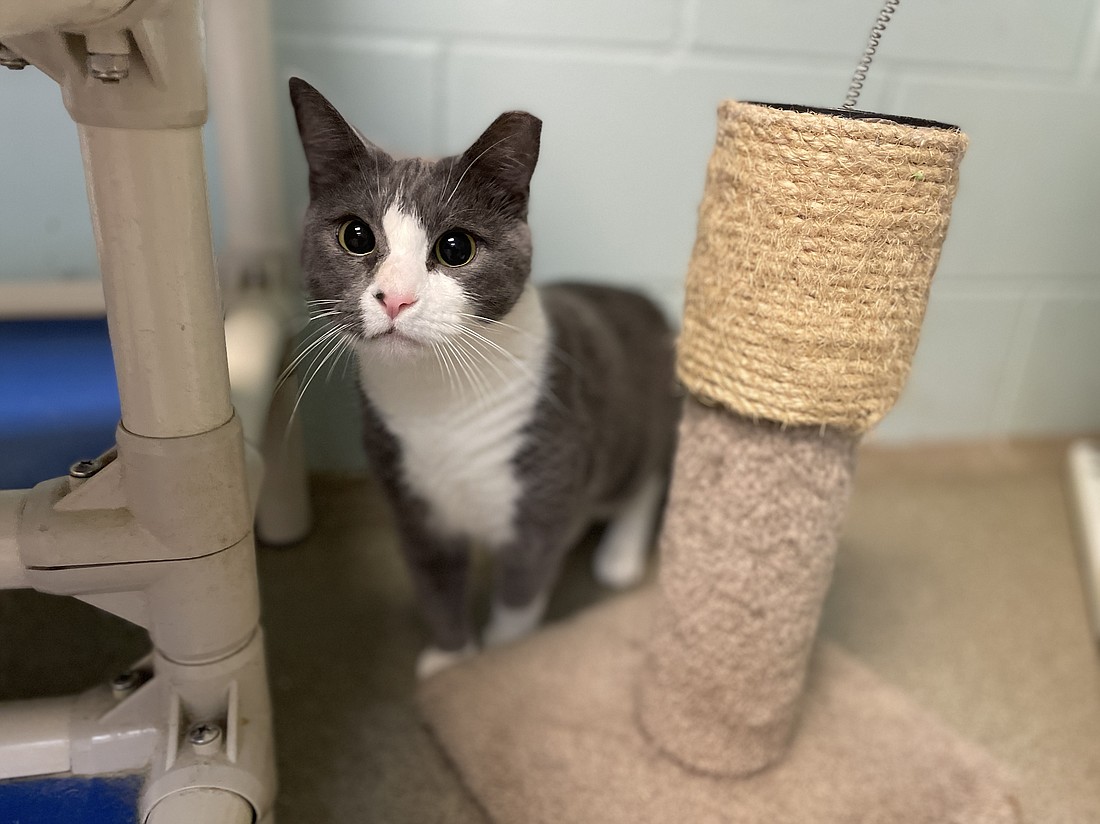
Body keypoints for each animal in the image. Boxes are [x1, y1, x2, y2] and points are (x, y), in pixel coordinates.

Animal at [289, 78, 681, 678]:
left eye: (456, 248)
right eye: (356, 236)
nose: (396, 298)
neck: (436, 406)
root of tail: (645, 300)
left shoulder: (542, 503)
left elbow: (518, 600)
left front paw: (494, 668)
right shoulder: (412, 507)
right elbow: (435, 586)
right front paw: (451, 659)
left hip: (639, 420)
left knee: (650, 472)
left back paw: (620, 555)